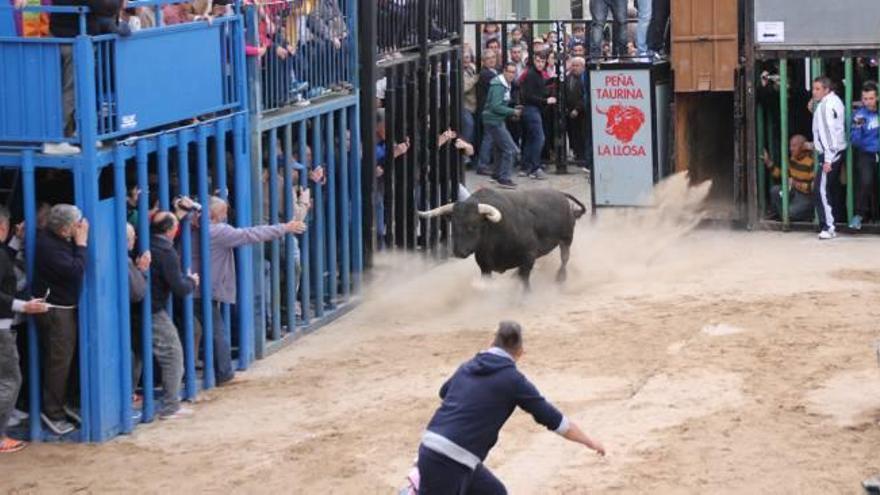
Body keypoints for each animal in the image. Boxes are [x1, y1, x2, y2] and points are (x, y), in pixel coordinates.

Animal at [418, 190, 588, 290]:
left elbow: (525, 279)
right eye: (453, 225)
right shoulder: (485, 267)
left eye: (473, 226)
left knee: (564, 258)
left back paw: (560, 279)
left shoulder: (528, 256)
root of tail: (561, 195)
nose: (459, 252)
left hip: (567, 238)